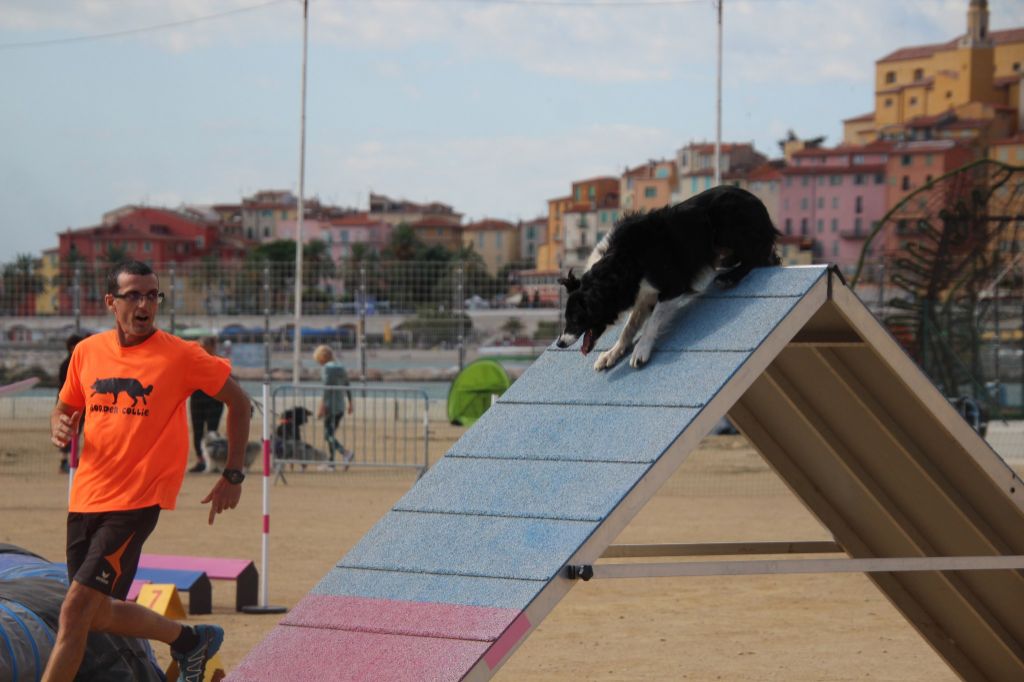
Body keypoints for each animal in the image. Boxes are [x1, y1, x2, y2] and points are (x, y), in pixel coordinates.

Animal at [557, 183, 778, 368]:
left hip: (724, 221)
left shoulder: (674, 284)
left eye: (575, 318)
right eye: (566, 318)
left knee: (758, 256)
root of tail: (760, 205)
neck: (620, 264)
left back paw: (729, 277)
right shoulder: (644, 295)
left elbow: (652, 321)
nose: (560, 343)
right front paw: (612, 353)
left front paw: (641, 350)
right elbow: (630, 326)